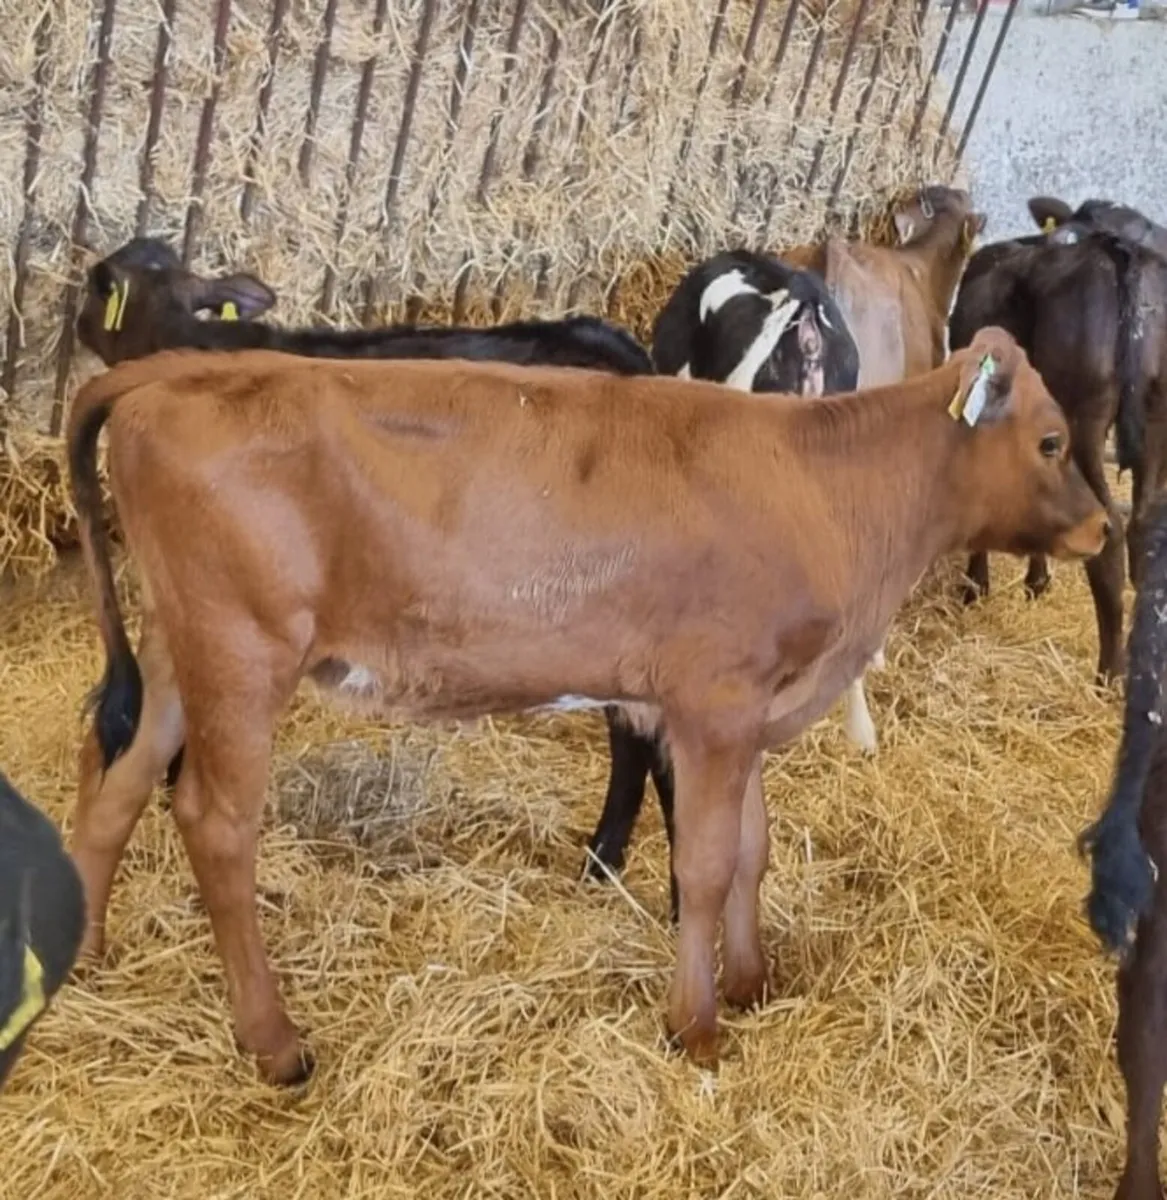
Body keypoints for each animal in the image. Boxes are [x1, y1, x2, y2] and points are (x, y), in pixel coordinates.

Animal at [63, 325, 1106, 1085]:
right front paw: (696, 1026)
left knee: (118, 786)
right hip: (243, 651)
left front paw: (750, 982)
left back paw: (84, 956)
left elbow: (754, 851)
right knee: (215, 825)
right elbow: (706, 864)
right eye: (1051, 440)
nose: (1101, 525)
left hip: (180, 650)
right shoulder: (714, 701)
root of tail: (183, 371)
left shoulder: (748, 712)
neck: (826, 485)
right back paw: (274, 1043)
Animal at [950, 199, 1167, 684]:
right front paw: (1034, 580)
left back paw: (1109, 673)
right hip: (1158, 415)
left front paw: (976, 585)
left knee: (1109, 533)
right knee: (1141, 525)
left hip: (1082, 416)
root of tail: (1122, 251)